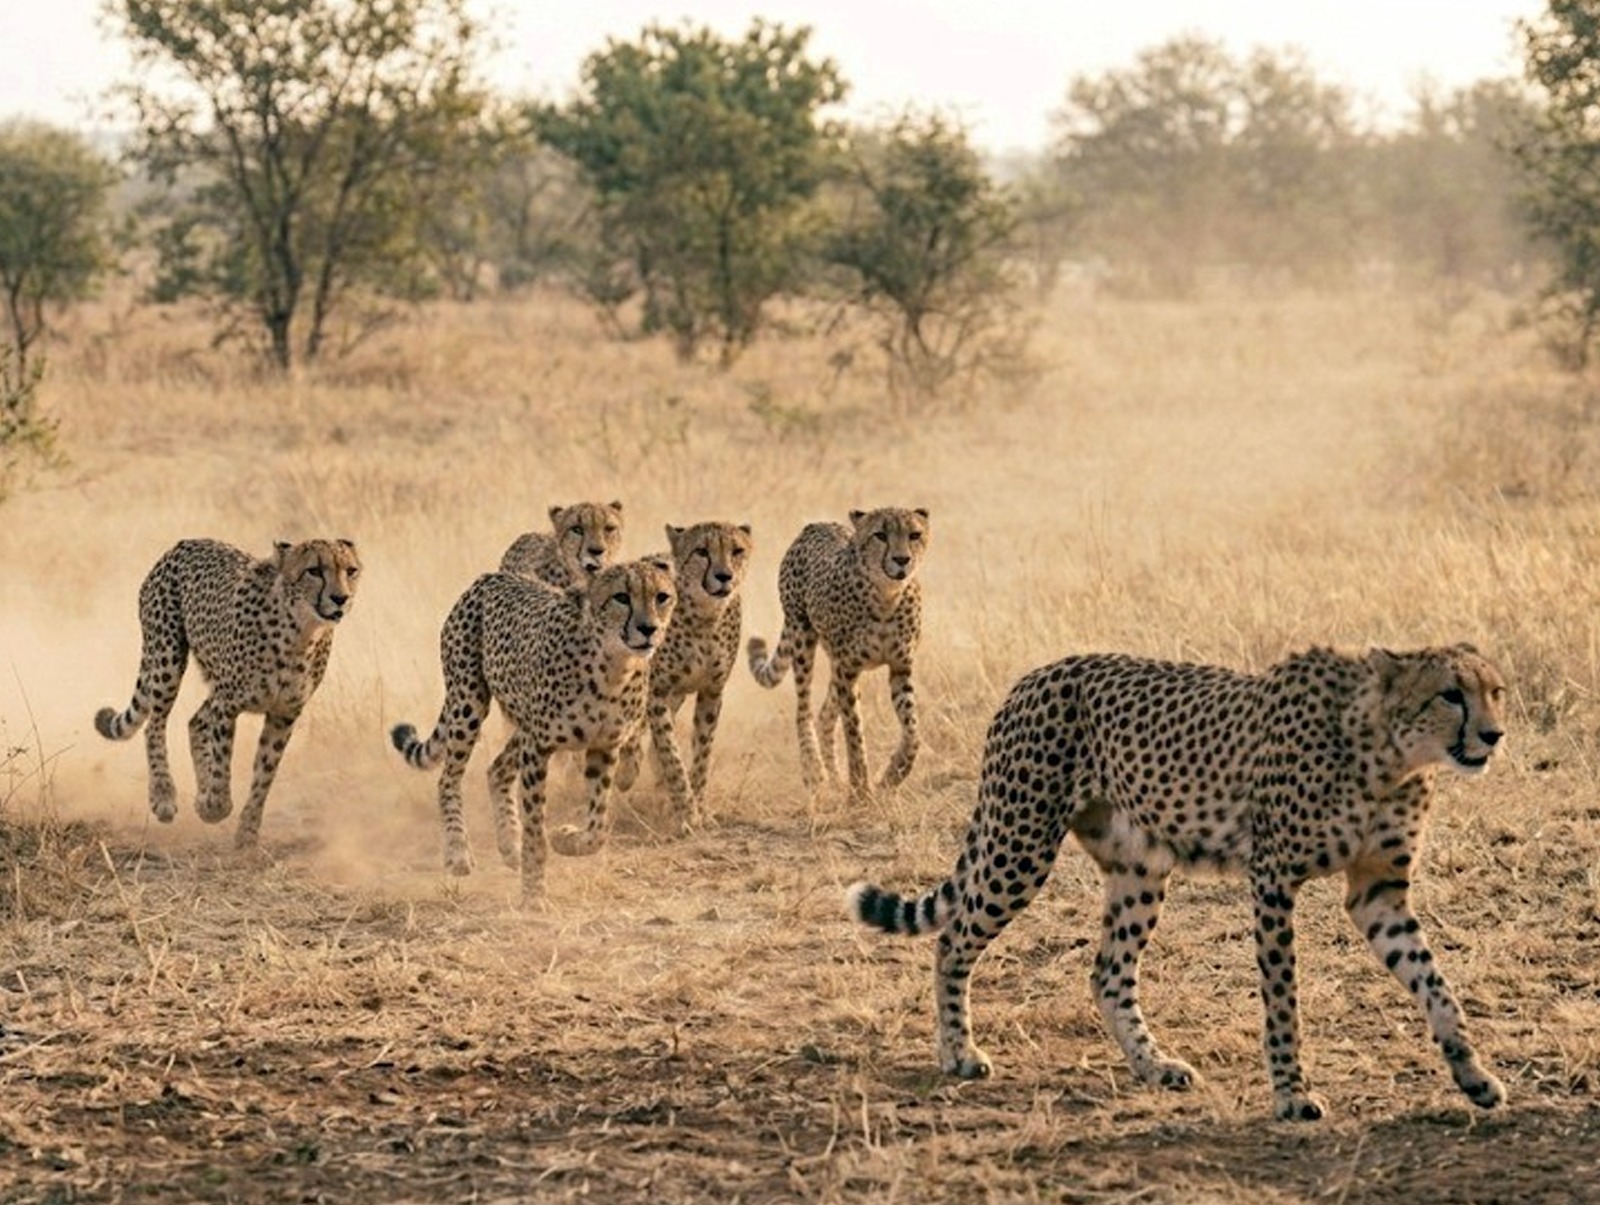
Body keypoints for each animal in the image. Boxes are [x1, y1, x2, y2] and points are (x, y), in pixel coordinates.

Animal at [94, 537, 362, 848]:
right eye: (314, 571)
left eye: (351, 571)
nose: (341, 598)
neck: (300, 633)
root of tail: (184, 543)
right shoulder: (228, 705)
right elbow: (223, 760)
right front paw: (214, 806)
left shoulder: (283, 714)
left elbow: (264, 774)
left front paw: (246, 831)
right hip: (167, 657)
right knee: (155, 725)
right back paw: (163, 795)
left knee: (195, 721)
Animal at [390, 558, 676, 904]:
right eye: (621, 597)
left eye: (661, 597)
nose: (649, 629)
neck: (613, 667)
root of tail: (490, 577)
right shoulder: (538, 748)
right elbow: (536, 828)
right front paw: (533, 893)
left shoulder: (603, 747)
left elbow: (598, 827)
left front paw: (566, 839)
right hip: (469, 701)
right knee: (448, 778)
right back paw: (458, 851)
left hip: (521, 724)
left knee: (496, 769)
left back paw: (509, 845)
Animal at [613, 521, 753, 832]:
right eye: (701, 551)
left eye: (737, 550)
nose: (724, 576)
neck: (704, 617)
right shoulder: (657, 693)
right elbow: (671, 754)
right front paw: (686, 813)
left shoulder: (712, 692)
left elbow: (701, 754)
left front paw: (699, 808)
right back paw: (627, 771)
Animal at [747, 507, 929, 805]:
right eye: (880, 535)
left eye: (914, 534)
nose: (902, 560)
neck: (886, 596)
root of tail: (815, 525)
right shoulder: (847, 668)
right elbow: (854, 732)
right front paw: (861, 790)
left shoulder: (899, 668)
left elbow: (913, 731)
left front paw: (892, 775)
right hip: (803, 639)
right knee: (804, 710)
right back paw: (814, 772)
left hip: (838, 664)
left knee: (824, 715)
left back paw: (834, 778)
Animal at [847, 643, 1510, 1121]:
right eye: (1451, 695)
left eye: (1495, 692)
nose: (1494, 734)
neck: (1390, 756)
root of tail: (1038, 672)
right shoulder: (1273, 878)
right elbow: (1283, 998)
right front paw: (1291, 1093)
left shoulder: (1378, 893)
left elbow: (1434, 982)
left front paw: (1474, 1075)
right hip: (1020, 843)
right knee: (952, 939)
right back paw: (958, 1052)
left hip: (1139, 868)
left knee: (1108, 973)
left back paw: (1154, 1065)